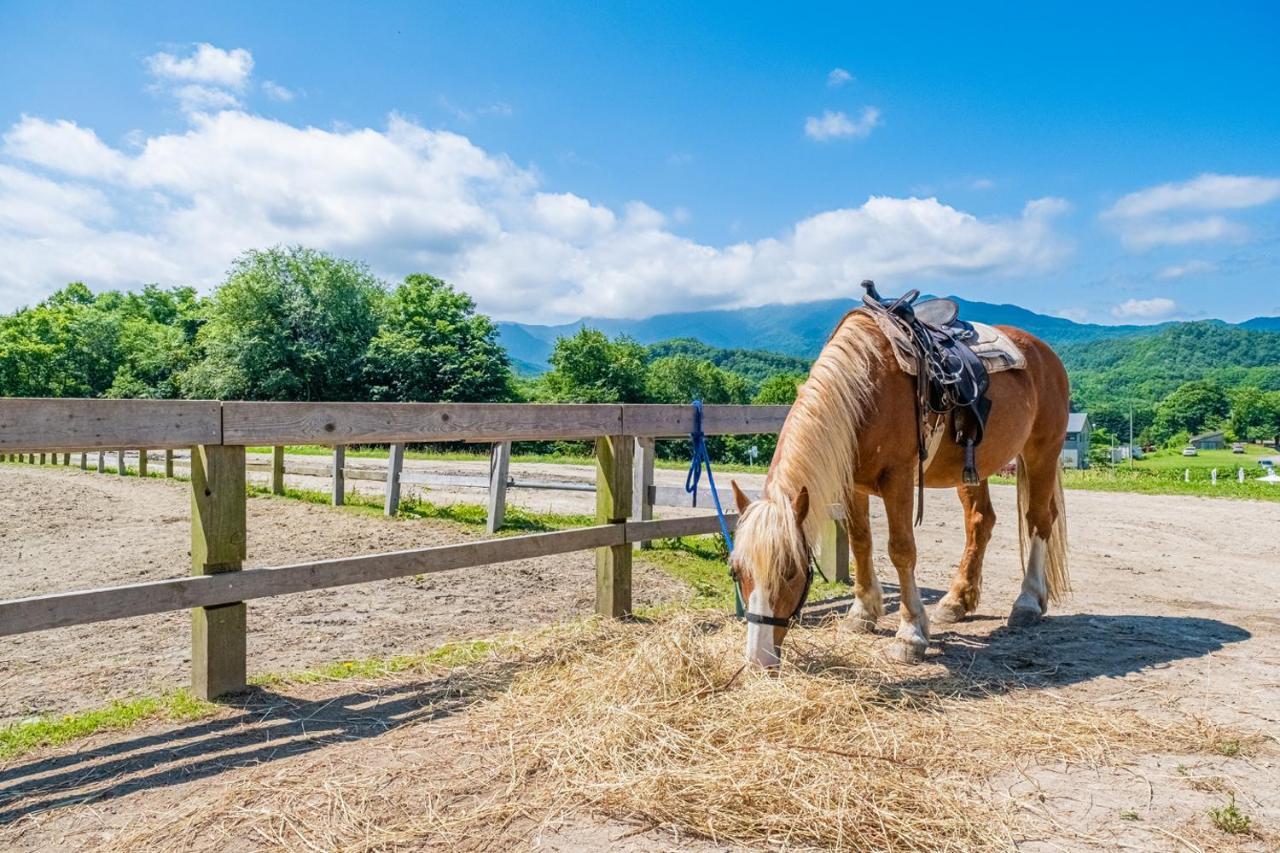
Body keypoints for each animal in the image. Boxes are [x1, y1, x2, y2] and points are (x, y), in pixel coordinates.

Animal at [732, 306, 1070, 666]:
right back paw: (956, 602)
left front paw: (911, 634)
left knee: (1039, 520)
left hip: (1041, 452)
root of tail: (1045, 353)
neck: (865, 387)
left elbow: (901, 550)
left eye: (791, 573)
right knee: (980, 522)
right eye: (737, 571)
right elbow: (861, 542)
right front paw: (862, 613)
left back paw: (1028, 602)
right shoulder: (853, 484)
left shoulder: (899, 478)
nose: (758, 658)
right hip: (973, 468)